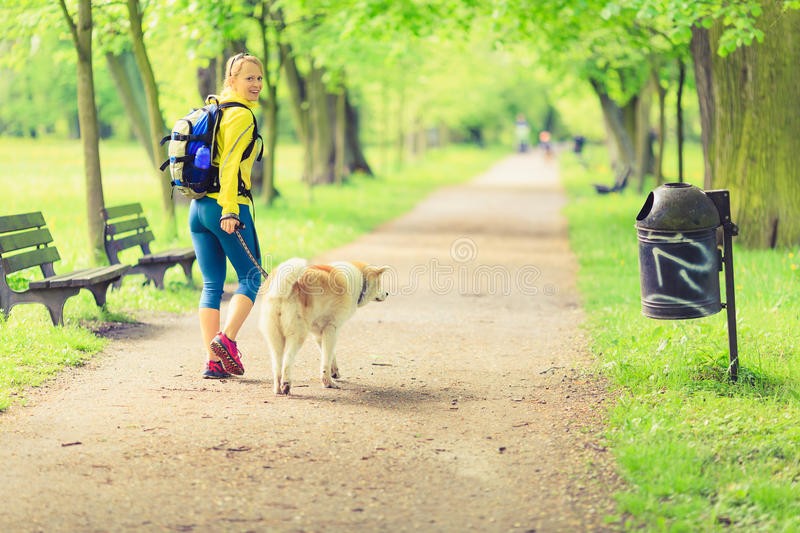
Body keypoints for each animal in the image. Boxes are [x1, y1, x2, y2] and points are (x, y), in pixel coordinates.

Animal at [260, 258, 390, 394]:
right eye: (379, 283)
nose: (387, 293)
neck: (359, 279)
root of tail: (282, 290)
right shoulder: (331, 329)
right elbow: (326, 360)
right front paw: (328, 382)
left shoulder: (319, 333)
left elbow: (329, 355)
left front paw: (334, 372)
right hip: (297, 335)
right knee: (287, 360)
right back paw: (286, 385)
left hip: (275, 338)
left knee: (277, 364)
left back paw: (278, 388)